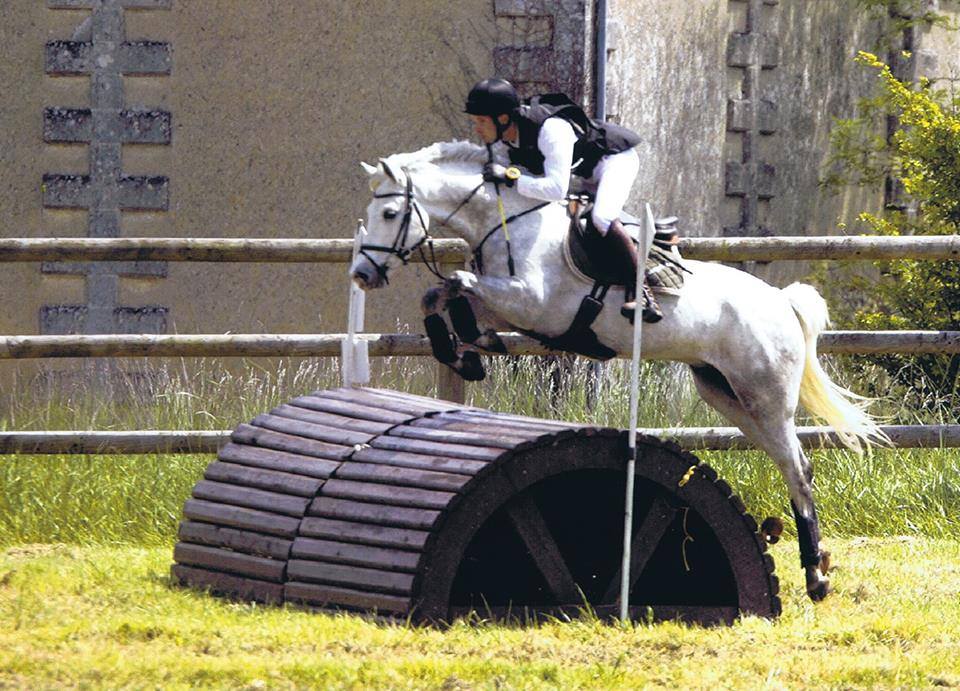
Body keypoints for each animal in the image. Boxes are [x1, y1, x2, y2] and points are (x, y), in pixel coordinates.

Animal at [348, 139, 880, 600]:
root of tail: (780, 300)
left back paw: (815, 576)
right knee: (789, 460)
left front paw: (468, 348)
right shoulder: (508, 306)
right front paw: (466, 350)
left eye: (390, 214)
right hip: (725, 394)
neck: (507, 222)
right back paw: (818, 563)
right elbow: (439, 295)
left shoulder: (532, 304)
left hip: (764, 394)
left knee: (797, 467)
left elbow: (457, 282)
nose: (362, 274)